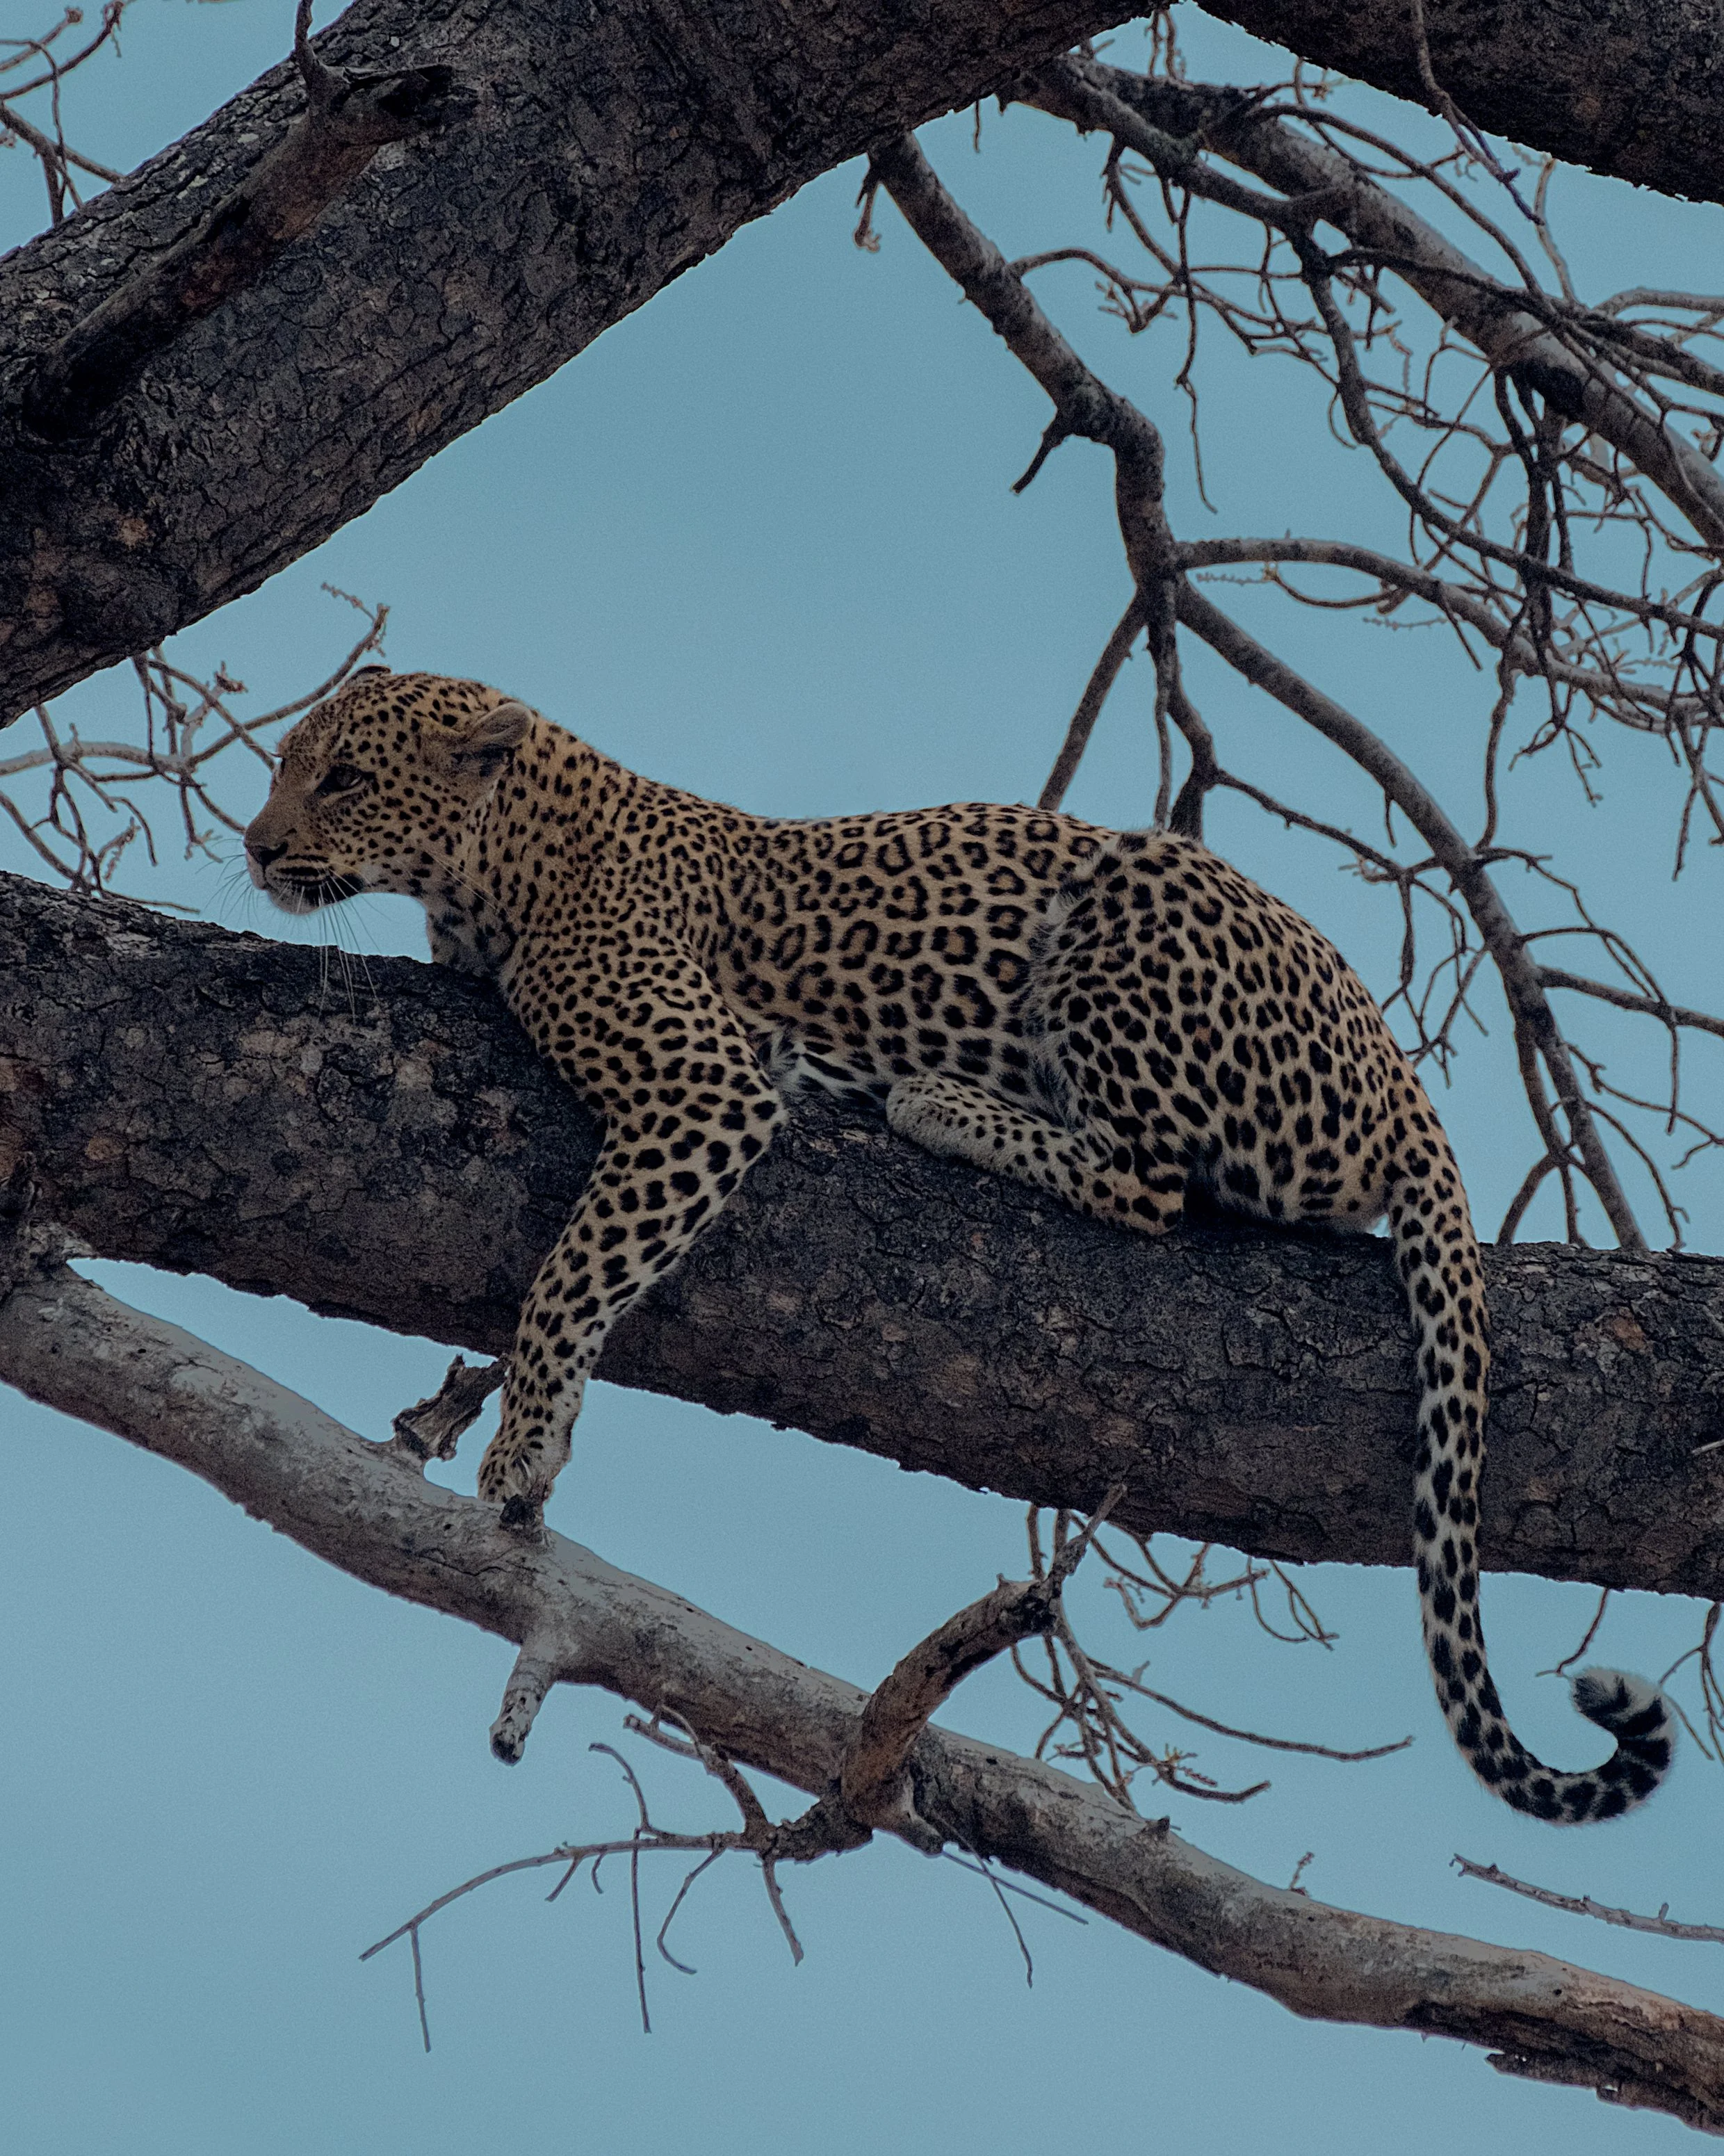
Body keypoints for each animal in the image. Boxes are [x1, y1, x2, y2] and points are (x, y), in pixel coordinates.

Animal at [244, 667, 1674, 1822]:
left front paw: (523, 1447)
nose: (254, 848)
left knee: (1154, 1184)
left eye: (343, 777)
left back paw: (936, 1102)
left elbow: (577, 1266)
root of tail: (1396, 1066)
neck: (499, 860)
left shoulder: (703, 1087)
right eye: (283, 762)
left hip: (1123, 915)